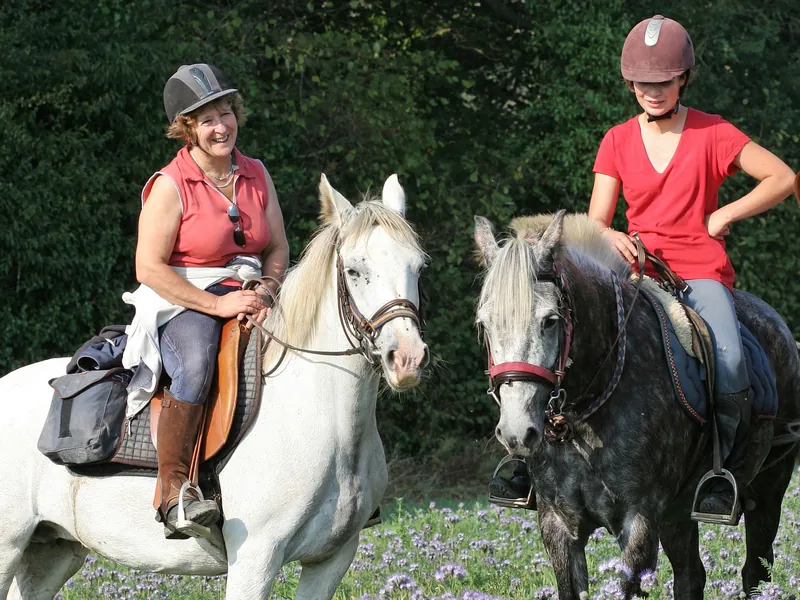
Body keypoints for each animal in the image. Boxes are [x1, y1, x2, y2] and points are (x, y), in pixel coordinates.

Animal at [0, 172, 428, 596]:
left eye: (419, 267)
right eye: (354, 270)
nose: (407, 358)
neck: (320, 419)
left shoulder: (331, 560)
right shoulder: (256, 558)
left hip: (53, 550)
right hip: (9, 547)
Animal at [476, 211, 800, 600]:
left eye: (550, 320)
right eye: (484, 325)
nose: (516, 431)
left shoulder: (638, 523)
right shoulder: (557, 525)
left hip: (770, 484)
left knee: (756, 569)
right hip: (678, 511)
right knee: (692, 576)